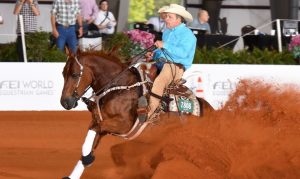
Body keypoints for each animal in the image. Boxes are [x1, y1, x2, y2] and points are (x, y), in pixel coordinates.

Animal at [59, 50, 204, 179]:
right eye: (63, 74)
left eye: (74, 74)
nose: (64, 102)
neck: (119, 87)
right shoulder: (100, 124)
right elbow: (89, 143)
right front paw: (84, 161)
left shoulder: (123, 125)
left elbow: (95, 131)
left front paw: (88, 159)